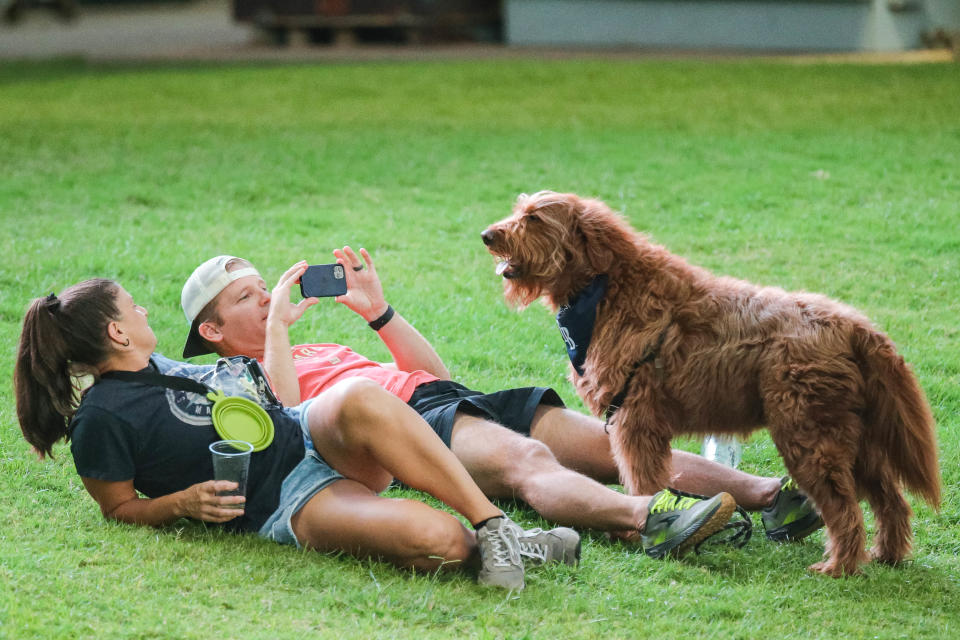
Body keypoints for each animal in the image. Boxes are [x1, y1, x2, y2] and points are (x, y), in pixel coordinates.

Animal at [480, 189, 936, 576]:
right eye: (520, 209)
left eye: (534, 218)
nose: (487, 235)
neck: (608, 289)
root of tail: (853, 325)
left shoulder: (634, 423)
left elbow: (640, 483)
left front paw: (637, 530)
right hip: (856, 441)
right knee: (891, 503)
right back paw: (887, 555)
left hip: (811, 437)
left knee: (846, 510)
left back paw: (839, 566)